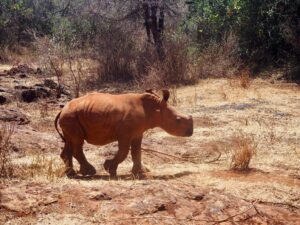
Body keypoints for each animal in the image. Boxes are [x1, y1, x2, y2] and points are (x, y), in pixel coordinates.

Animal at [55, 89, 193, 178]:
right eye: (178, 120)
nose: (191, 132)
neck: (154, 109)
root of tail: (62, 110)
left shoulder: (138, 132)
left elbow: (136, 151)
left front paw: (139, 173)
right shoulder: (125, 133)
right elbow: (124, 151)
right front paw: (109, 169)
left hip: (70, 117)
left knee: (70, 141)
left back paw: (72, 174)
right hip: (71, 117)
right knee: (77, 142)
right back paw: (90, 172)